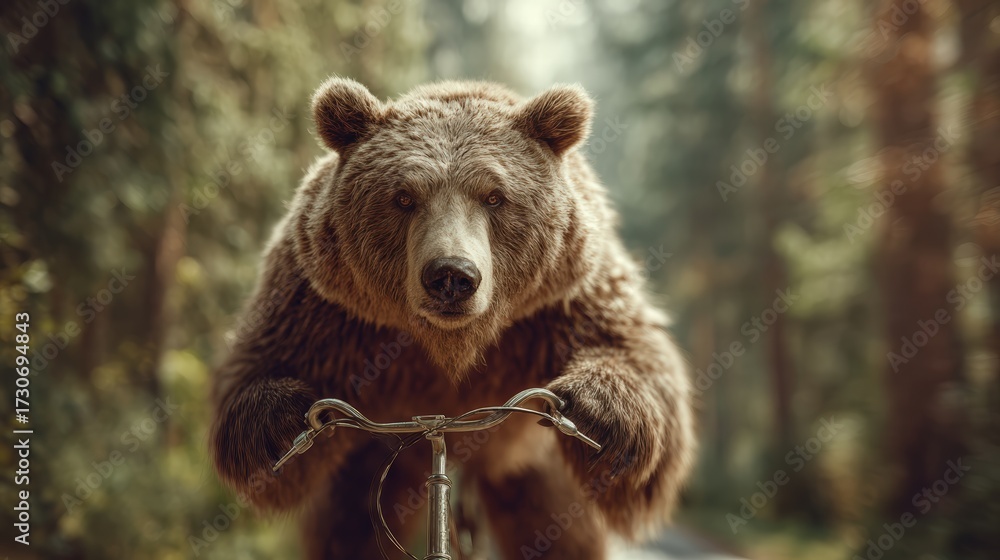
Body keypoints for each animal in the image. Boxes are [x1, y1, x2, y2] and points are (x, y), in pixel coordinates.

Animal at [210, 77, 696, 559]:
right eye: (403, 196)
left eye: (495, 196)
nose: (451, 276)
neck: (453, 344)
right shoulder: (325, 307)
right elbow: (258, 373)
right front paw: (279, 423)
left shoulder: (561, 301)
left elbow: (638, 360)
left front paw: (600, 413)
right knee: (348, 530)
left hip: (531, 470)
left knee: (557, 530)